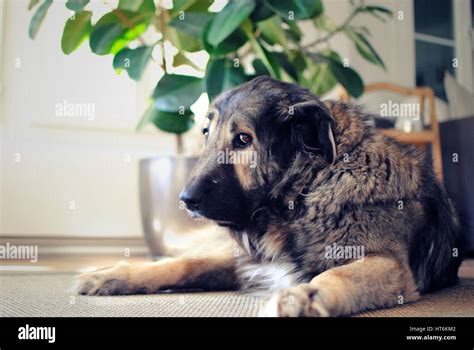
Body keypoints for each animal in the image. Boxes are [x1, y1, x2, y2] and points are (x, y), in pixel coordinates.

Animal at [74, 76, 462, 318]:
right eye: (206, 132)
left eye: (244, 140)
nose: (185, 199)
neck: (304, 193)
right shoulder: (246, 260)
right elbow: (184, 265)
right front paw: (115, 275)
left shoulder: (389, 265)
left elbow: (334, 276)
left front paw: (302, 297)